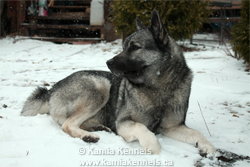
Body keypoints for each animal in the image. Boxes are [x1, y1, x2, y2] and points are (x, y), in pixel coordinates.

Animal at [20, 9, 216, 157]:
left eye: (135, 47)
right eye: (123, 47)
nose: (108, 62)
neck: (158, 87)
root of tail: (52, 89)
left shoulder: (173, 127)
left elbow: (196, 133)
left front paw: (208, 146)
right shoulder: (124, 122)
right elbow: (142, 128)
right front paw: (153, 146)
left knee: (69, 122)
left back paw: (96, 128)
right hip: (100, 86)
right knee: (67, 124)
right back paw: (88, 136)